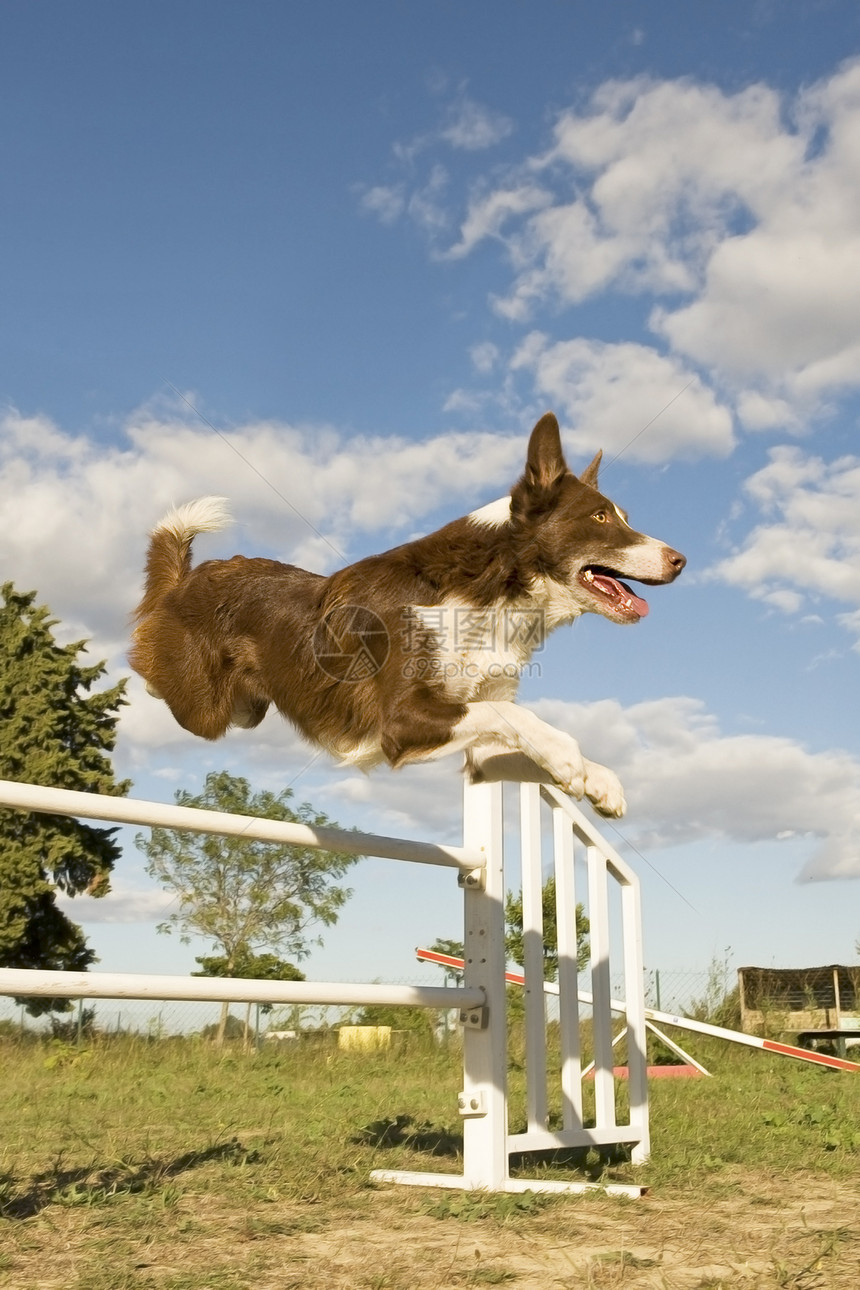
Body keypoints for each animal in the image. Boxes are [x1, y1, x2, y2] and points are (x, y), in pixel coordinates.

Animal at [131, 412, 685, 815]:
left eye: (624, 516)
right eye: (600, 517)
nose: (680, 559)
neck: (491, 596)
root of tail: (184, 581)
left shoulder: (480, 745)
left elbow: (514, 730)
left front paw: (598, 780)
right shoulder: (401, 722)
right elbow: (515, 715)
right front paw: (570, 757)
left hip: (247, 710)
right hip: (204, 706)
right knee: (152, 674)